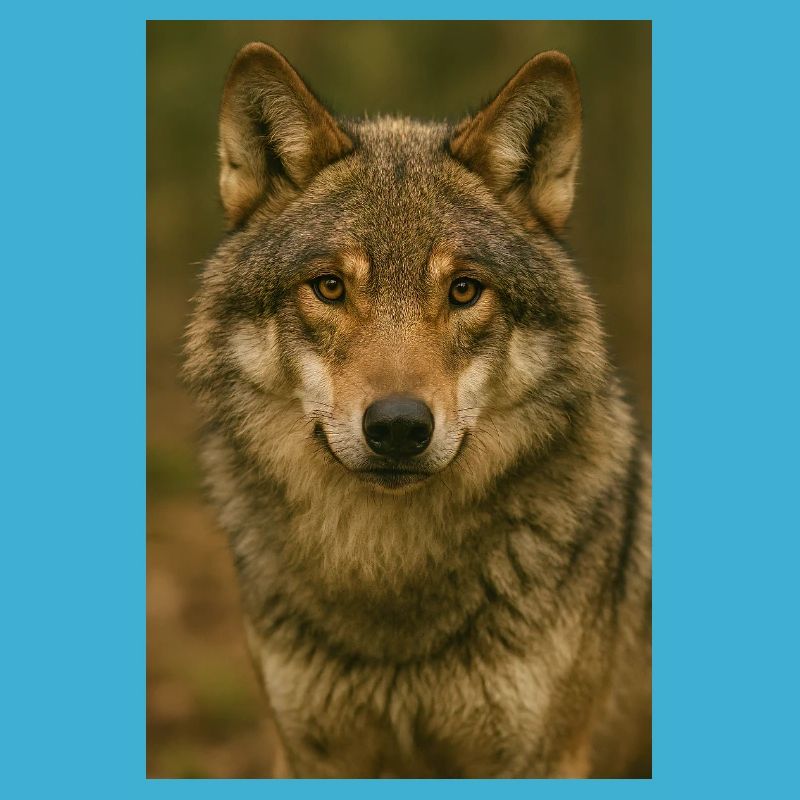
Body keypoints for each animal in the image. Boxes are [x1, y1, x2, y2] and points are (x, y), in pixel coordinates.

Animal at [183, 42, 651, 778]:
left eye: (464, 290)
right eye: (329, 287)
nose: (399, 426)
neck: (390, 580)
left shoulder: (543, 757)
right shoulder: (311, 753)